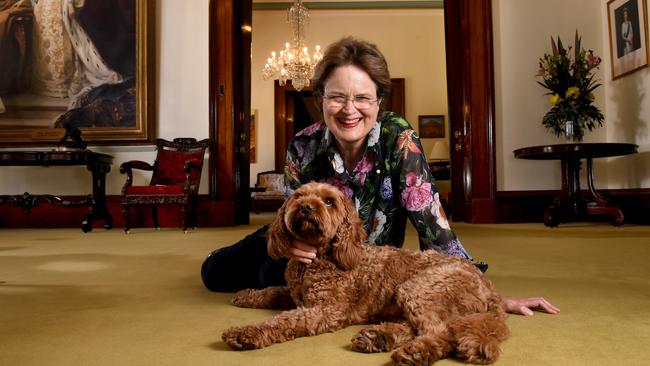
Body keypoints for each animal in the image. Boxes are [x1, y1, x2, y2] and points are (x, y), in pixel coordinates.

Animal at [220, 182, 508, 364]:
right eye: (299, 196)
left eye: (328, 201)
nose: (305, 207)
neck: (318, 259)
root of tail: (487, 285)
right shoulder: (296, 295)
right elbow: (272, 292)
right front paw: (246, 295)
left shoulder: (325, 310)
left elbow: (283, 321)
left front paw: (246, 333)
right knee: (418, 326)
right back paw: (378, 337)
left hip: (418, 288)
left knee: (441, 332)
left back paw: (415, 353)